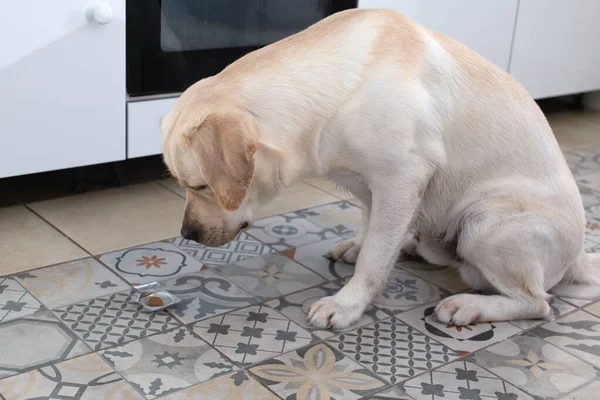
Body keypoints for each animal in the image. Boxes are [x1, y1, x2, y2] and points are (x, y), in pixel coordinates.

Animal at [161, 8, 600, 328]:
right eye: (184, 185)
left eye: (200, 186)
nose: (187, 234)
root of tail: (579, 255)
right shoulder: (371, 186)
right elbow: (372, 232)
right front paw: (359, 245)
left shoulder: (400, 181)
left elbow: (374, 259)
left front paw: (347, 304)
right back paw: (412, 246)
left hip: (486, 222)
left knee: (537, 302)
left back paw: (469, 306)